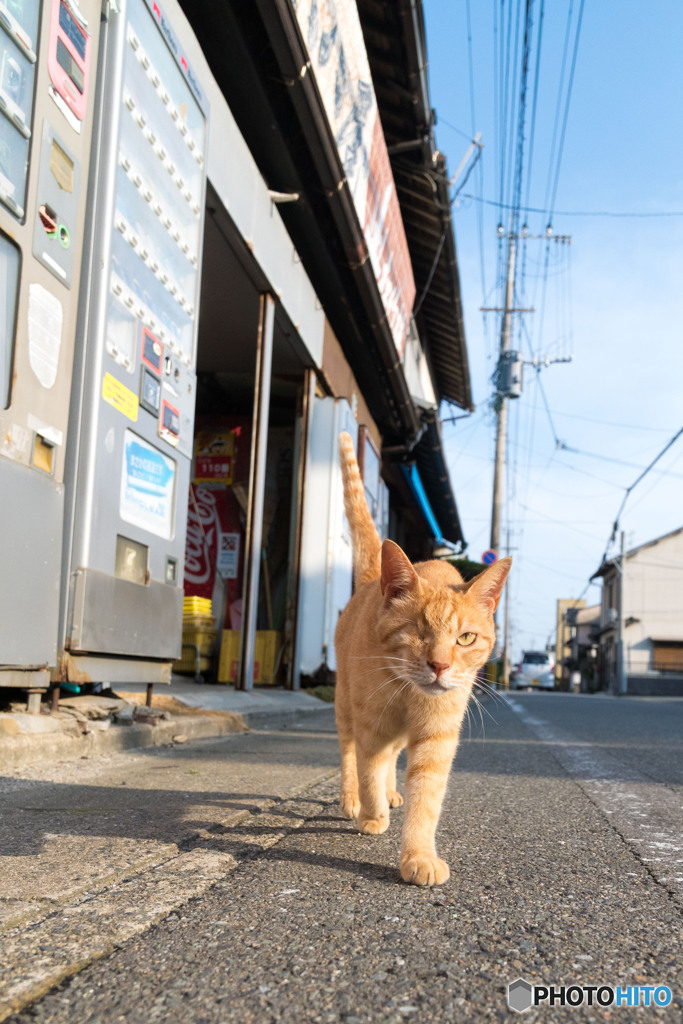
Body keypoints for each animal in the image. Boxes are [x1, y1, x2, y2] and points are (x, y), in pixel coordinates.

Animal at [333, 428, 509, 884]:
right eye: (418, 632)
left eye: (465, 638)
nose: (440, 665)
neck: (408, 693)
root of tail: (372, 579)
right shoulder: (371, 724)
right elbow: (368, 768)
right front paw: (371, 815)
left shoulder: (436, 736)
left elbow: (425, 796)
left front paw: (418, 856)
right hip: (344, 705)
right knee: (350, 754)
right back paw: (354, 801)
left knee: (393, 759)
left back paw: (393, 794)